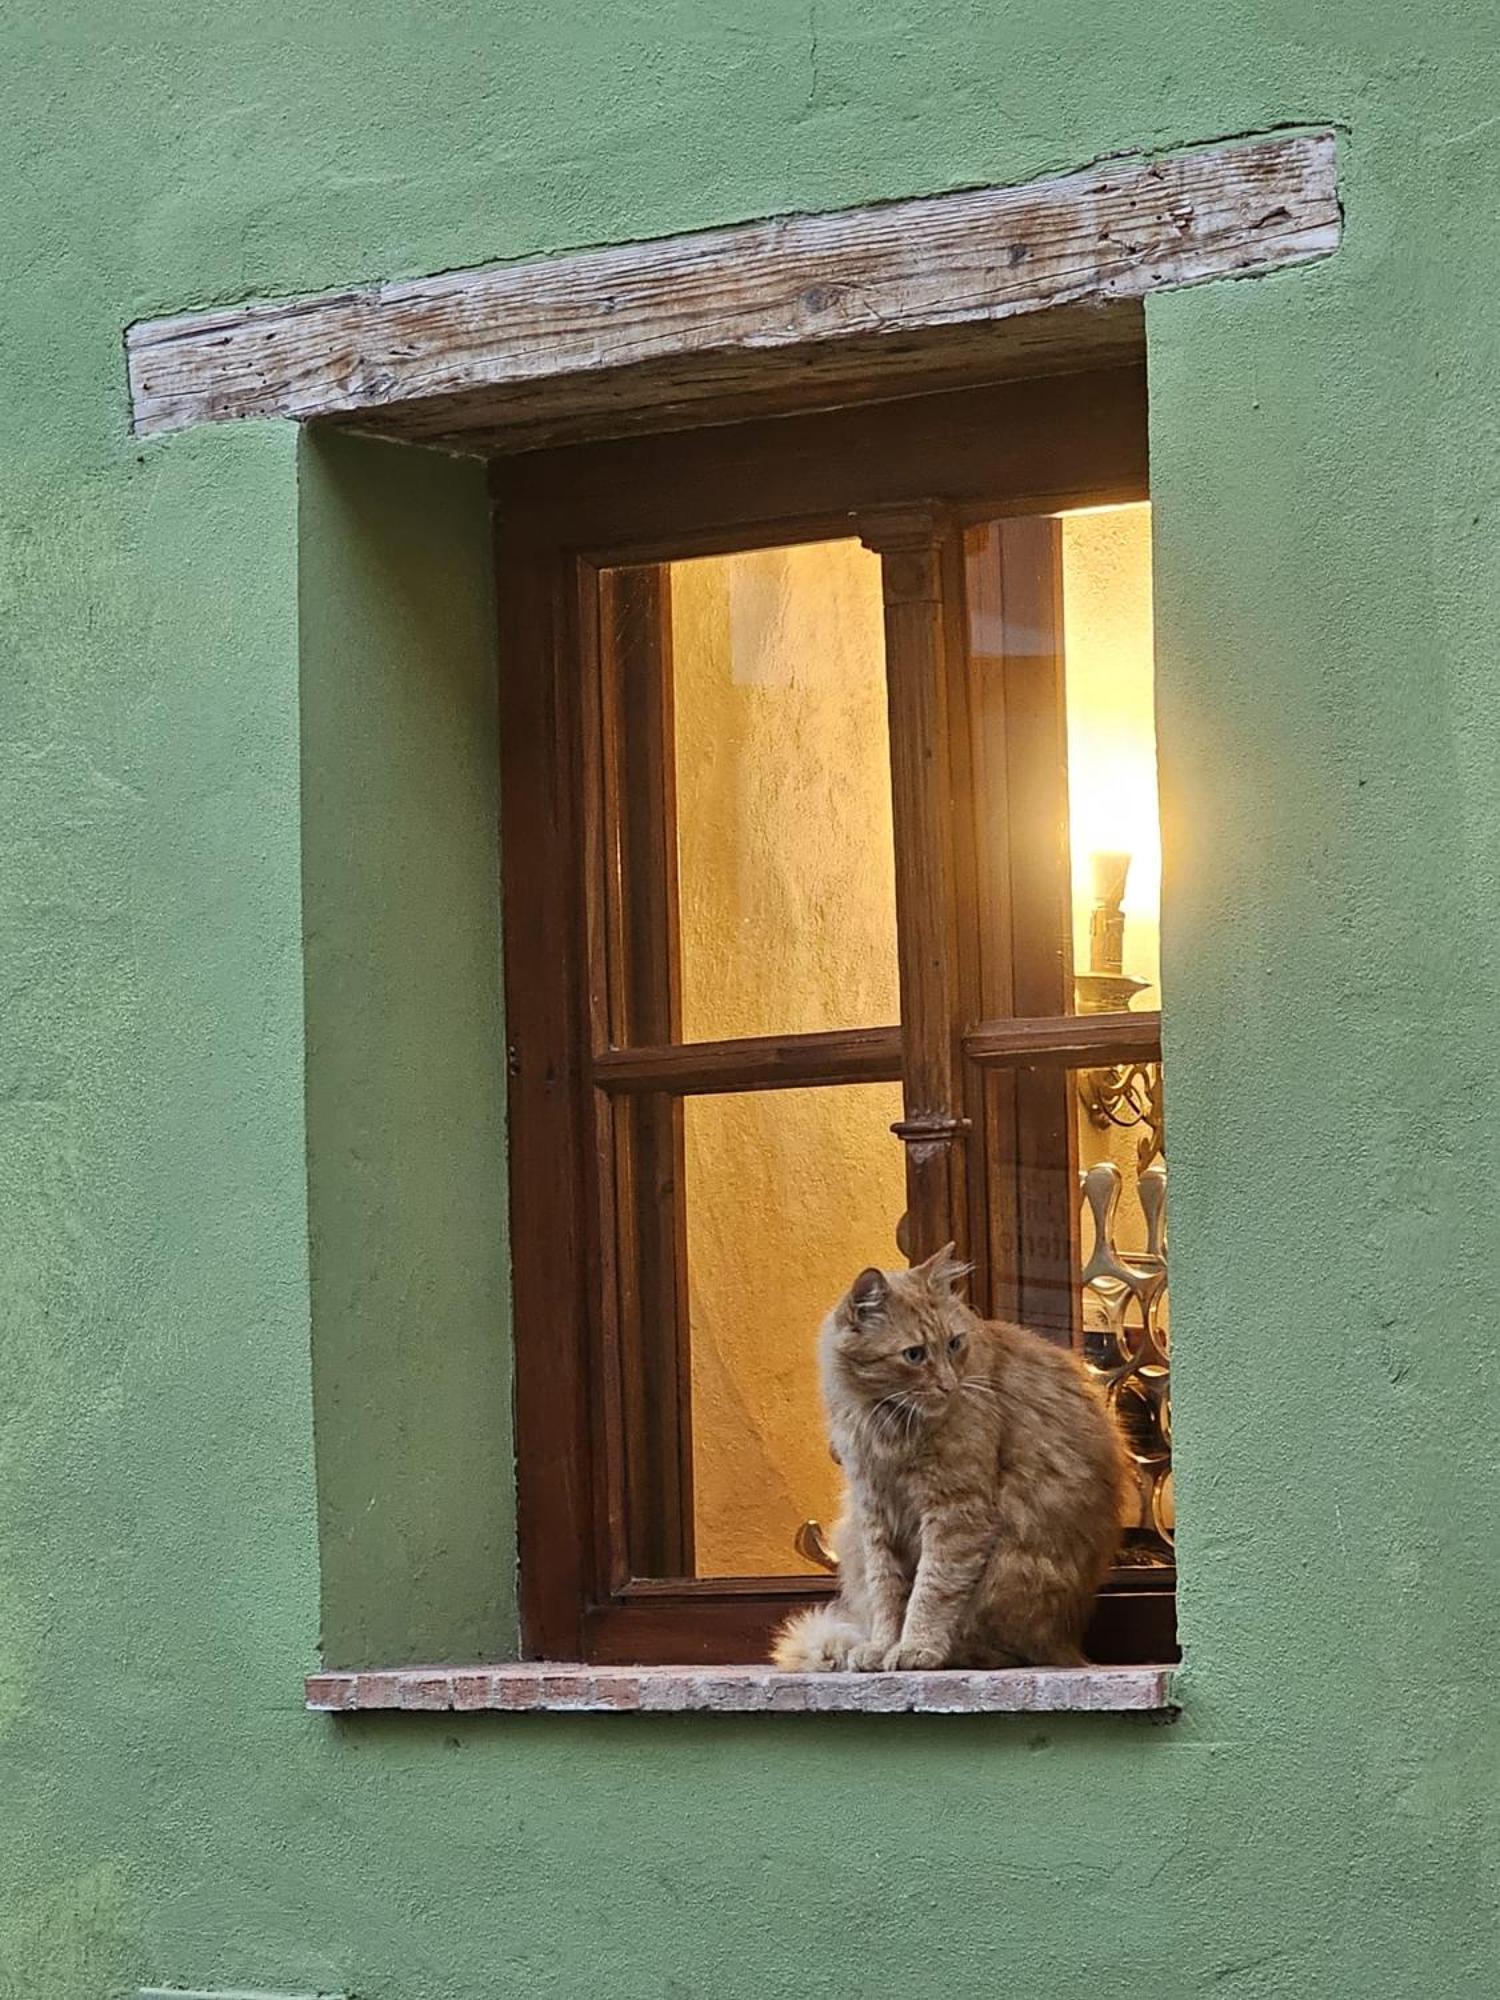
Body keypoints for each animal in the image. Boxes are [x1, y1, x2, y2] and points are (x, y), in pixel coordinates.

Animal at [780, 1248, 1120, 1672]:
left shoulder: (955, 1511)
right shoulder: (874, 1513)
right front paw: (882, 1646)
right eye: (914, 1355)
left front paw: (914, 1648)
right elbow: (886, 1593)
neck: (883, 1422)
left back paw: (950, 1653)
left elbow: (931, 1590)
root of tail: (1070, 1643)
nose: (948, 1385)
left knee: (1002, 1651)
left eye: (954, 1344)